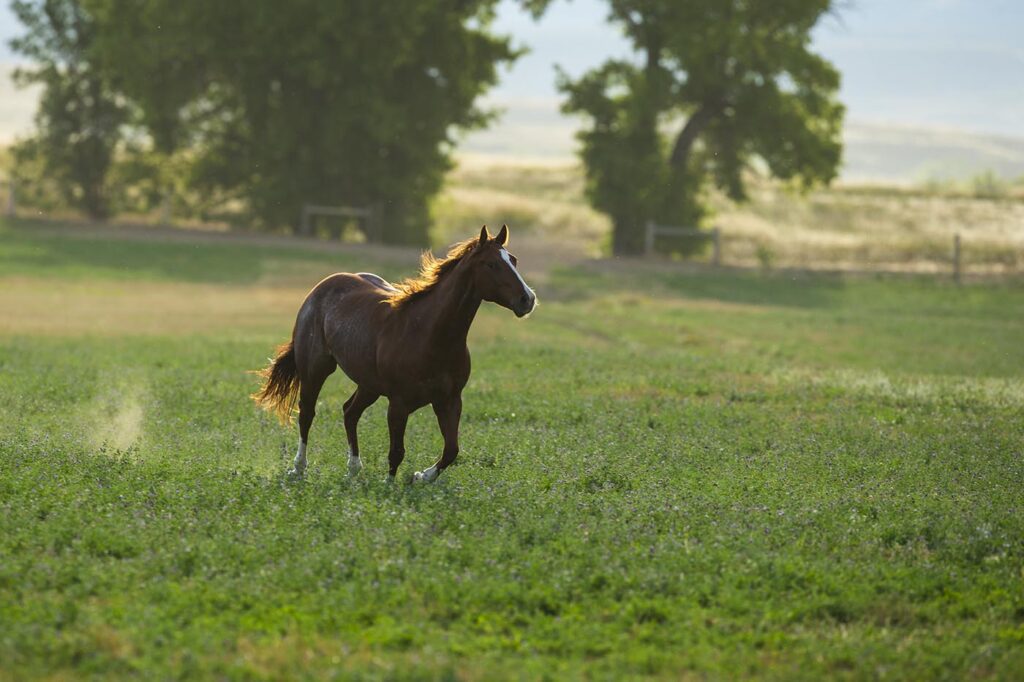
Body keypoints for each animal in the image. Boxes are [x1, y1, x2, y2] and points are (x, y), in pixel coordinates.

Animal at [251, 225, 536, 481]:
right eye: (491, 264)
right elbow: (397, 452)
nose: (528, 299)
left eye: (513, 260)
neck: (429, 335)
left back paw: (354, 468)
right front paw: (390, 487)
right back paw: (299, 469)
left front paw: (421, 477)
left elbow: (451, 450)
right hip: (316, 368)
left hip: (369, 384)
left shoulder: (449, 400)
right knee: (307, 413)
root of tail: (321, 288)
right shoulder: (399, 404)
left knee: (349, 412)